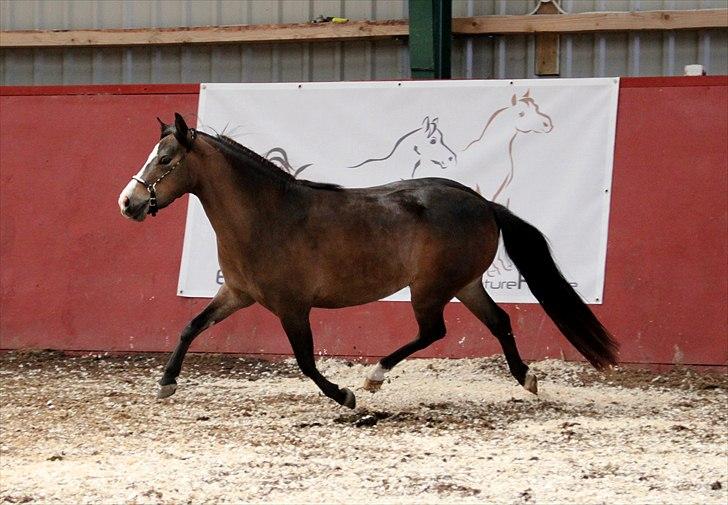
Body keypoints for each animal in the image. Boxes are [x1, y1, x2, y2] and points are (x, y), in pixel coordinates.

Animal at [116, 114, 616, 410]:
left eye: (166, 159)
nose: (128, 203)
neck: (266, 215)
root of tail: (482, 203)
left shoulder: (291, 307)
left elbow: (305, 361)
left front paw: (346, 396)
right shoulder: (236, 293)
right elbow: (191, 327)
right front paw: (166, 382)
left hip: (430, 288)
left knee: (434, 331)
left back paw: (375, 376)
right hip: (465, 284)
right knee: (499, 321)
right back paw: (526, 378)